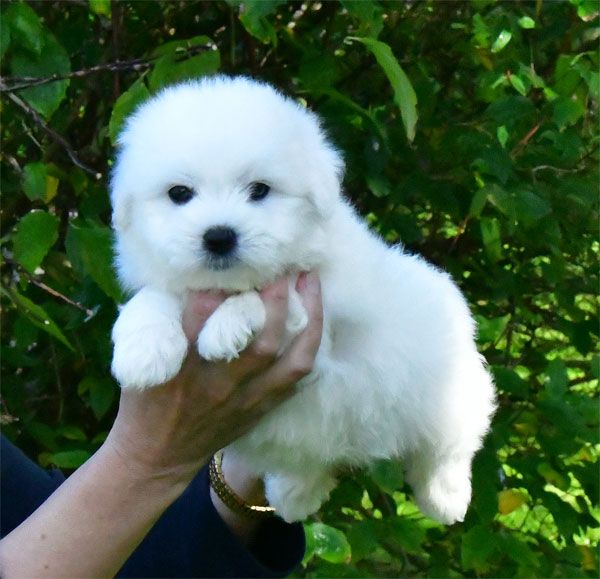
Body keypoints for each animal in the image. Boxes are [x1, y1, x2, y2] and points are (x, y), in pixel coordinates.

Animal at [110, 75, 494, 524]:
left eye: (260, 190)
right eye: (179, 194)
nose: (219, 236)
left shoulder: (319, 323)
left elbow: (277, 296)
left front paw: (225, 327)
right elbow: (154, 297)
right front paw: (143, 351)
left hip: (453, 396)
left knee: (448, 450)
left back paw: (445, 497)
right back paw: (294, 493)